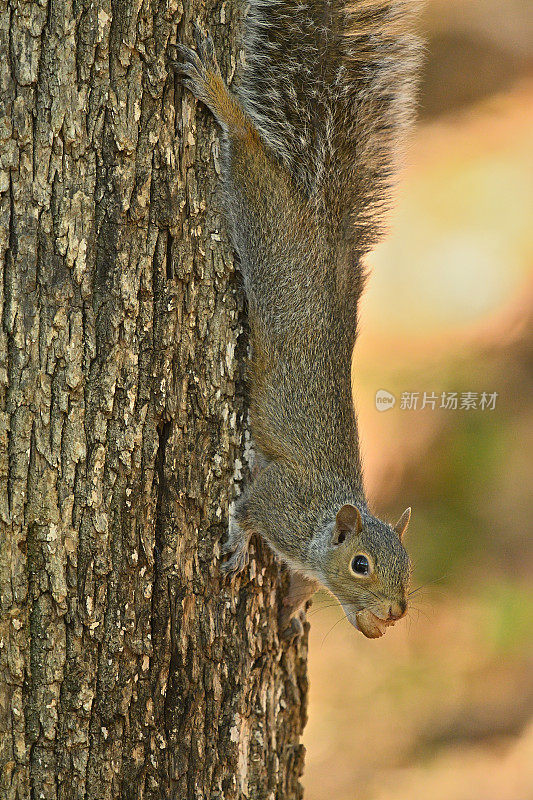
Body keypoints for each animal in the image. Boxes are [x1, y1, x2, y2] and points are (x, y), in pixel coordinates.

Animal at [170, 0, 420, 636]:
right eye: (361, 564)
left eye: (407, 566)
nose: (397, 613)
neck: (319, 526)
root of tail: (320, 236)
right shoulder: (279, 501)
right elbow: (246, 511)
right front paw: (237, 546)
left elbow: (303, 588)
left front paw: (296, 609)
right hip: (268, 224)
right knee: (250, 156)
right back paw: (221, 99)